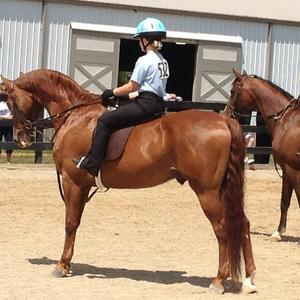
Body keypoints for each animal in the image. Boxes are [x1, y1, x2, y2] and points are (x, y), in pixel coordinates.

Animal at [1, 68, 256, 292]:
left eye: (11, 101)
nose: (20, 138)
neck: (77, 116)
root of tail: (224, 121)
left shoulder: (72, 182)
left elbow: (70, 223)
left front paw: (62, 265)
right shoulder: (83, 186)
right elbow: (76, 222)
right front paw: (67, 263)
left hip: (207, 192)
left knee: (222, 228)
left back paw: (218, 280)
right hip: (222, 189)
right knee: (242, 223)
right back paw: (249, 279)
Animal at [225, 69, 300, 243]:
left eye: (233, 91)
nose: (227, 114)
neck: (286, 120)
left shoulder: (292, 169)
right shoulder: (287, 171)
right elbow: (284, 201)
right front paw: (279, 232)